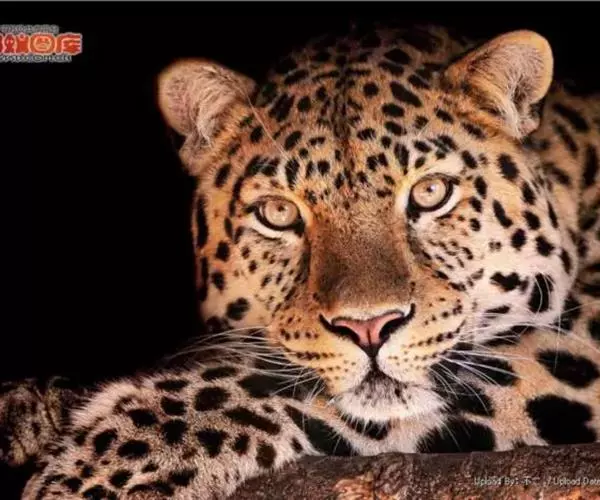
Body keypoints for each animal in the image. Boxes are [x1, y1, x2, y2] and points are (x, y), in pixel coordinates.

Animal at [2, 22, 600, 500]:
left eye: (431, 193)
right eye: (278, 213)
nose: (370, 327)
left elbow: (275, 382)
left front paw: (116, 456)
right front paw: (36, 407)